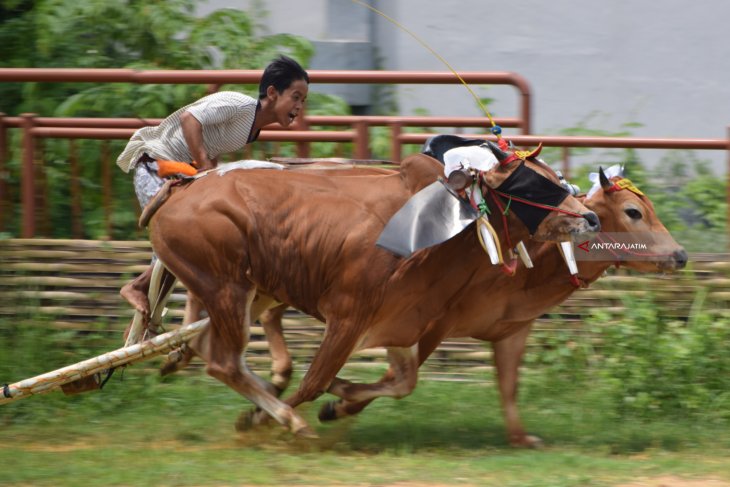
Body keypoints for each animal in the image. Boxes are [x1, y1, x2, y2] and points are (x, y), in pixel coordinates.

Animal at [148, 150, 596, 434]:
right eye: (534, 186)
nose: (590, 217)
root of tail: (182, 189)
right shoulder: (348, 316)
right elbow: (314, 381)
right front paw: (267, 418)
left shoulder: (401, 322)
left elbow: (402, 382)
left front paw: (337, 401)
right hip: (227, 289)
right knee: (224, 362)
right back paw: (289, 420)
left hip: (247, 294)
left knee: (207, 347)